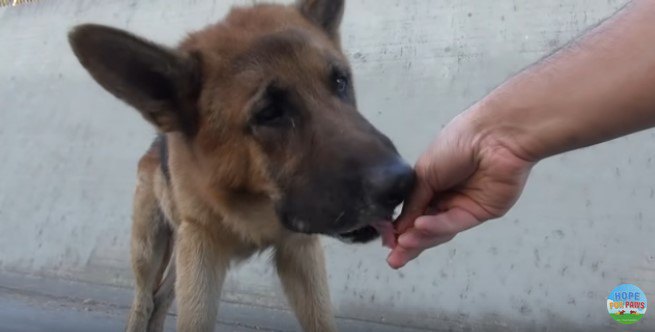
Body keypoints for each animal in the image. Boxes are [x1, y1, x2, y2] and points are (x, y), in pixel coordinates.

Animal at [68, 0, 416, 332]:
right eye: (269, 113)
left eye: (340, 82)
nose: (403, 182)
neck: (249, 205)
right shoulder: (202, 253)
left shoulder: (300, 252)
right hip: (149, 251)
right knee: (144, 300)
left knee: (161, 296)